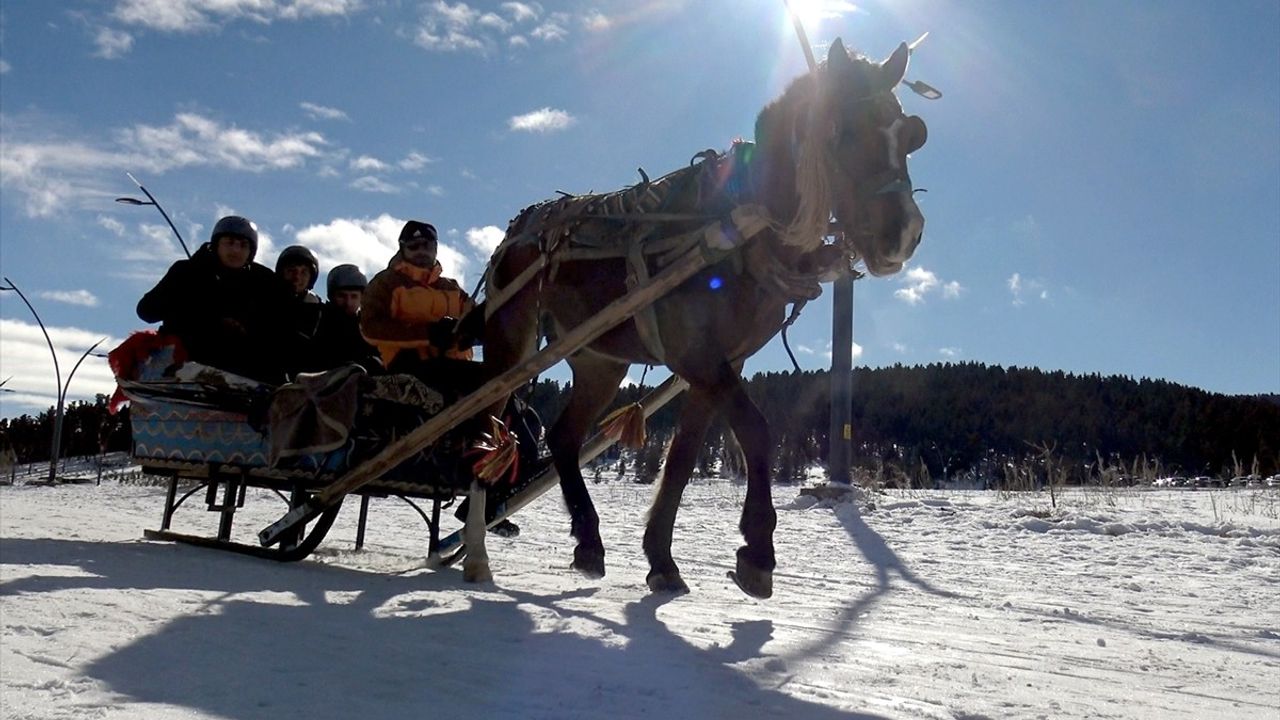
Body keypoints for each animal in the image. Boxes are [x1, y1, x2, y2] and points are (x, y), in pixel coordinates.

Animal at [473, 37, 931, 594]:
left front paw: (661, 559)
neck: (738, 230)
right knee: (484, 425)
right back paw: (473, 548)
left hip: (601, 360)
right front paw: (757, 550)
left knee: (562, 436)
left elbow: (683, 456)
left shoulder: (720, 363)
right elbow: (756, 430)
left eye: (910, 136)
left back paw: (588, 540)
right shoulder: (696, 356)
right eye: (841, 132)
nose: (904, 234)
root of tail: (518, 229)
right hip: (510, 342)